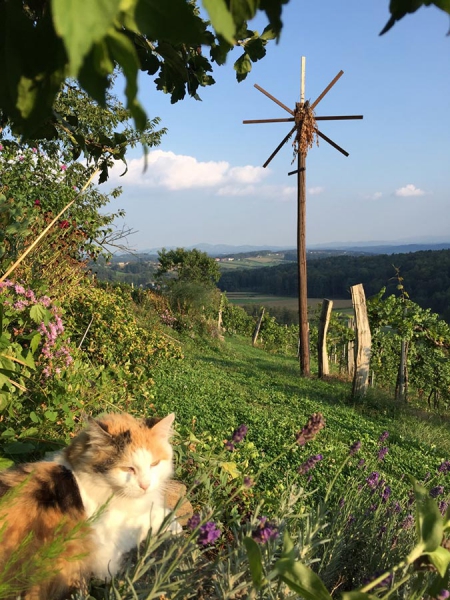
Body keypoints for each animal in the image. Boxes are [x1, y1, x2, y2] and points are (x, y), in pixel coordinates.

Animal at [0, 412, 177, 600]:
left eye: (154, 464)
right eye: (128, 469)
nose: (145, 485)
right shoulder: (106, 552)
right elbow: (144, 521)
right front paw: (172, 522)